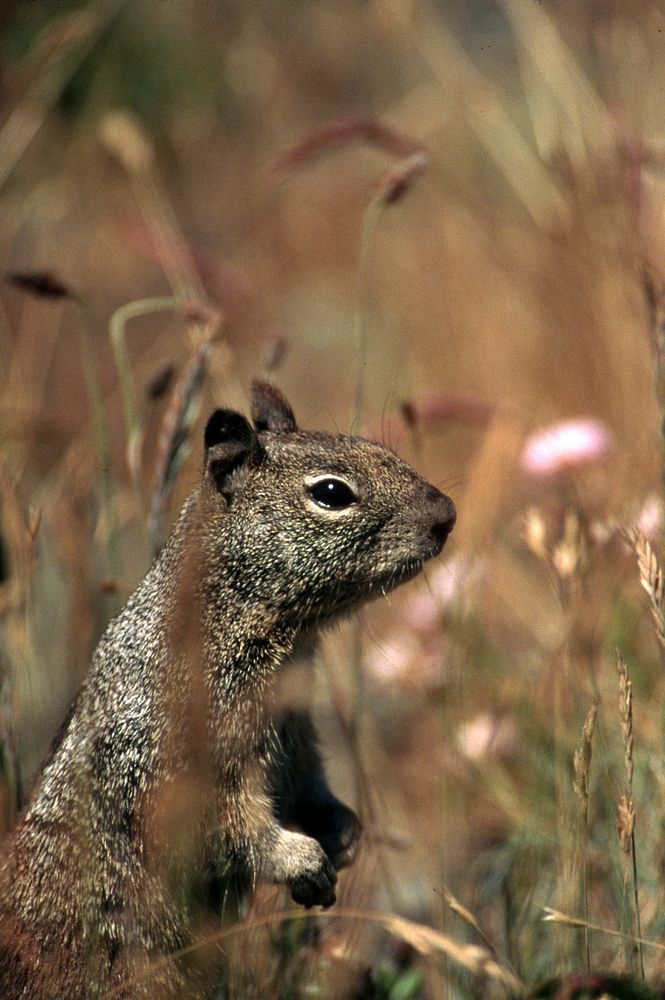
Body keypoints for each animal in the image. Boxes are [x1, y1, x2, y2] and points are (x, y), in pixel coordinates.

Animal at [0, 378, 454, 996]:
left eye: (380, 448)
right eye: (332, 493)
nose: (447, 515)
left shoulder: (296, 738)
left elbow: (309, 790)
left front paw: (344, 831)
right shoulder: (185, 760)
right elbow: (230, 828)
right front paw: (301, 857)